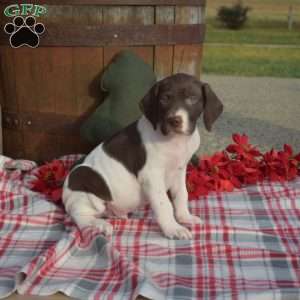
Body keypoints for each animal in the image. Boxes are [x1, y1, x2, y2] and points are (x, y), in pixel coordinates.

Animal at [62, 74, 223, 240]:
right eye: (164, 99)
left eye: (192, 99)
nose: (174, 120)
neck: (174, 140)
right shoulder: (151, 176)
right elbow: (164, 204)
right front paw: (172, 228)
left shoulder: (179, 171)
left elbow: (181, 195)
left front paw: (185, 217)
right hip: (85, 180)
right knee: (80, 217)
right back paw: (99, 225)